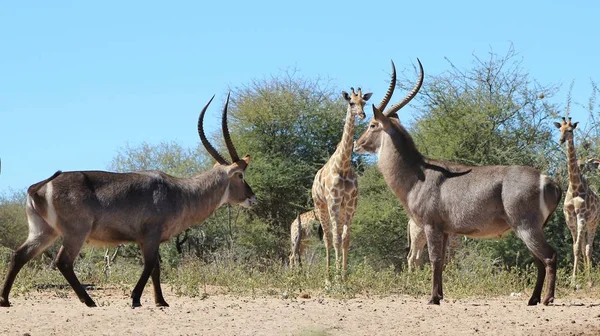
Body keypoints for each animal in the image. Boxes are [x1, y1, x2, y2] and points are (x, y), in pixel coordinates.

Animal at [312, 86, 372, 278]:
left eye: (364, 102)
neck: (343, 165)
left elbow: (346, 239)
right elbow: (336, 239)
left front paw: (344, 277)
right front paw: (337, 278)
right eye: (351, 102)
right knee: (328, 238)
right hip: (321, 206)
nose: (362, 114)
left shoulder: (351, 204)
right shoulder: (333, 202)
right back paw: (328, 278)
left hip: (341, 208)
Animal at [552, 117, 600, 284]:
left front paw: (575, 280)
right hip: (584, 226)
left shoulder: (581, 217)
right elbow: (574, 247)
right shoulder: (570, 219)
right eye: (560, 129)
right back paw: (586, 277)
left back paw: (590, 280)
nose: (561, 140)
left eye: (570, 130)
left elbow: (579, 247)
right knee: (585, 247)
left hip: (593, 223)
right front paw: (575, 279)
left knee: (588, 248)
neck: (574, 187)